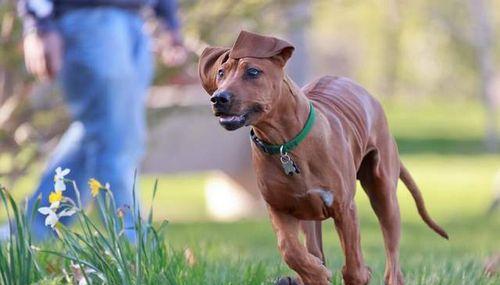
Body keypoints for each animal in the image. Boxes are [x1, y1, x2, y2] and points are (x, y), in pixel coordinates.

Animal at [197, 31, 448, 284]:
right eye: (221, 73)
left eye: (253, 72)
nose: (218, 98)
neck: (284, 144)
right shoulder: (278, 207)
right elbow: (290, 250)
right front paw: (315, 273)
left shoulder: (344, 207)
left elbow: (354, 267)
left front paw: (358, 274)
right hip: (309, 214)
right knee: (314, 247)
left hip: (384, 193)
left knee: (393, 261)